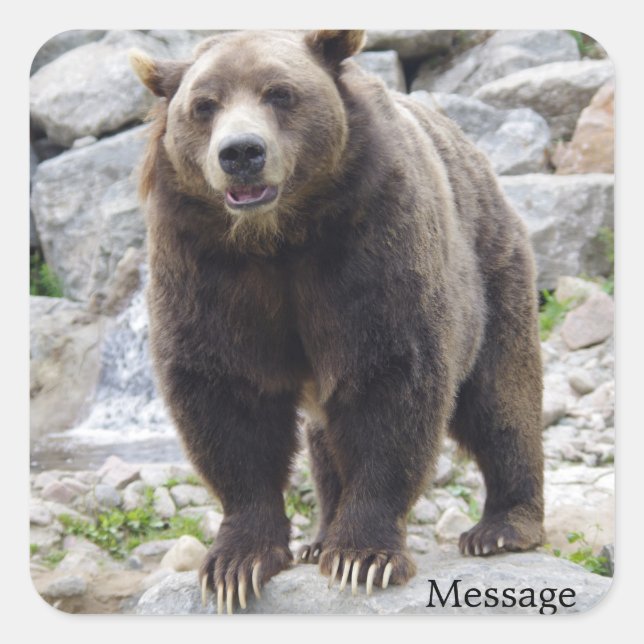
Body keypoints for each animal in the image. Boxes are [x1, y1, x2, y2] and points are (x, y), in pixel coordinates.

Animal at [129, 29, 545, 614]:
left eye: (280, 93)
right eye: (204, 105)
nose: (241, 153)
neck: (278, 237)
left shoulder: (371, 240)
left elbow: (389, 381)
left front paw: (362, 556)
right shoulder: (205, 266)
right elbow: (226, 395)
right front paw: (237, 565)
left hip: (490, 268)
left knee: (500, 397)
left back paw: (502, 527)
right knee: (326, 439)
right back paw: (319, 536)